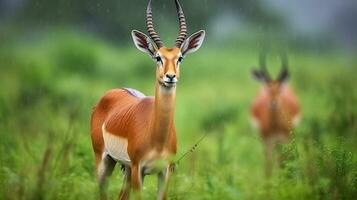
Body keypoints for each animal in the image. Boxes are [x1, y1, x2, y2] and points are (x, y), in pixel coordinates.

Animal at [90, 0, 204, 198]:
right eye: (158, 57)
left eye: (180, 58)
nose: (170, 76)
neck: (157, 139)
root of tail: (113, 92)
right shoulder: (139, 169)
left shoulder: (166, 171)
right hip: (104, 160)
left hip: (126, 169)